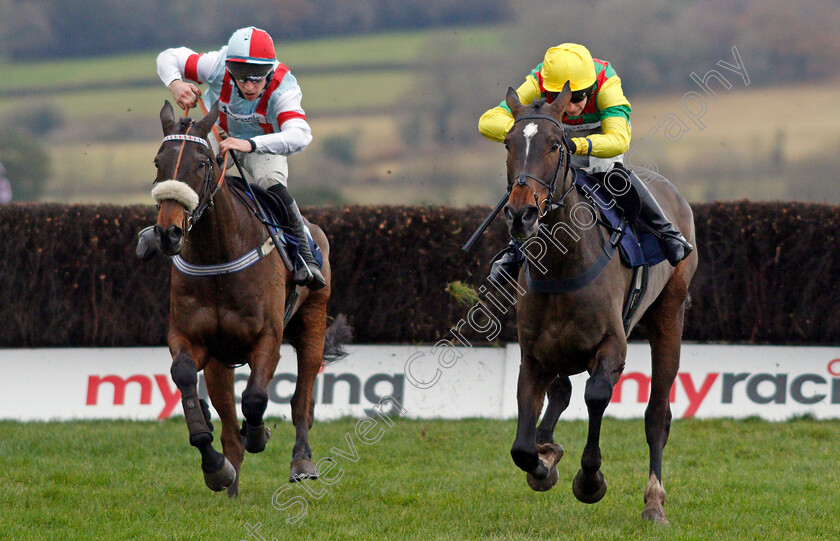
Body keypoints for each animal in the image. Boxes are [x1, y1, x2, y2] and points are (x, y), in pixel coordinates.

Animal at [153, 101, 346, 498]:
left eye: (203, 162)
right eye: (158, 162)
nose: (168, 233)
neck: (218, 254)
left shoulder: (267, 336)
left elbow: (256, 397)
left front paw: (258, 434)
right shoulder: (192, 338)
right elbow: (184, 375)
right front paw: (213, 462)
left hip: (313, 324)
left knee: (302, 401)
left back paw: (301, 462)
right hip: (221, 362)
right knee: (229, 425)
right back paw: (230, 483)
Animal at [502, 85, 700, 524]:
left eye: (555, 145)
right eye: (508, 144)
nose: (521, 213)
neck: (561, 264)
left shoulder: (611, 346)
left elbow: (596, 396)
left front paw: (590, 480)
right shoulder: (532, 356)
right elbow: (522, 446)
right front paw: (544, 462)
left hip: (669, 315)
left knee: (657, 415)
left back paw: (654, 502)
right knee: (560, 392)